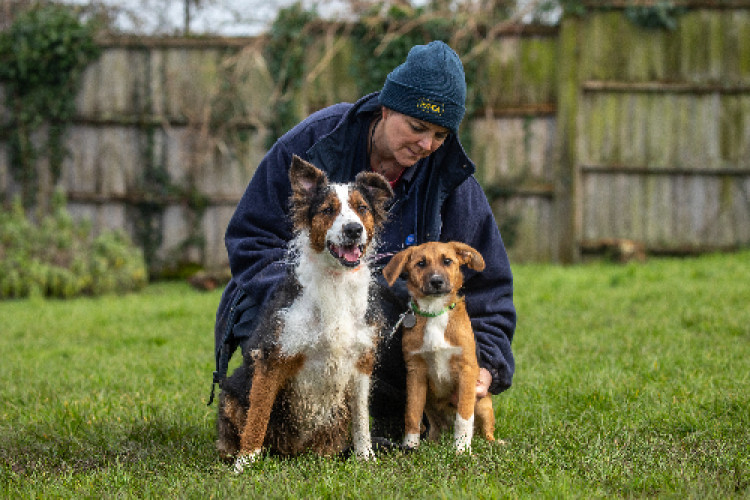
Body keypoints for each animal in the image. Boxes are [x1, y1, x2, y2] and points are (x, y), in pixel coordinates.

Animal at [217, 156, 394, 472]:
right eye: (328, 210)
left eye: (362, 208)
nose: (353, 229)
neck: (336, 279)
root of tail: (293, 451)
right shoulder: (272, 357)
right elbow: (258, 416)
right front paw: (245, 462)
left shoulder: (362, 361)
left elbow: (362, 420)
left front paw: (365, 457)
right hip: (229, 395)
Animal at [384, 241, 496, 454]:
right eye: (420, 263)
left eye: (447, 261)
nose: (436, 282)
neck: (434, 312)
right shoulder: (416, 372)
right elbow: (412, 414)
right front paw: (410, 446)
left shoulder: (466, 371)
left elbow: (464, 416)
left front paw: (461, 449)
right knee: (435, 427)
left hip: (484, 403)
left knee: (486, 430)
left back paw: (493, 443)